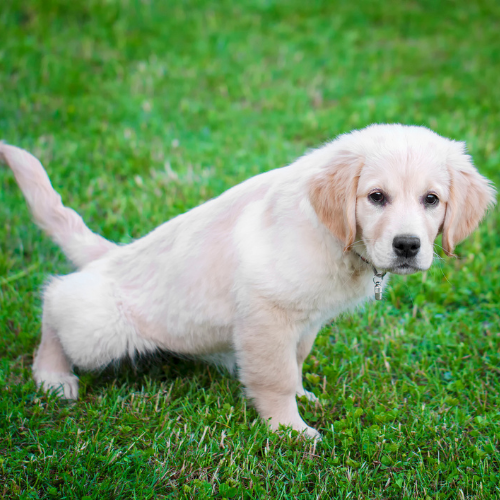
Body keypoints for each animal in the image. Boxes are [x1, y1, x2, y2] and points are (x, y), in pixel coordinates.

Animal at [0, 125, 494, 438]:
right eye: (376, 197)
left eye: (431, 199)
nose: (408, 245)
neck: (335, 237)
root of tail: (111, 255)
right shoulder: (266, 312)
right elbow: (275, 376)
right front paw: (290, 431)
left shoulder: (305, 319)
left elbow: (295, 360)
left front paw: (303, 396)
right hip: (103, 328)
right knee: (56, 299)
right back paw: (52, 375)